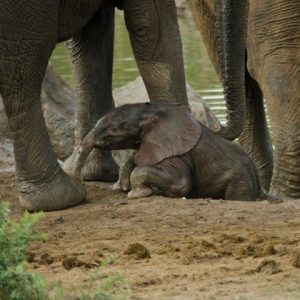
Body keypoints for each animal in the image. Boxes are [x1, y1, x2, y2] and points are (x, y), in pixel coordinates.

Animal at [0, 0, 247, 211]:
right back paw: (60, 199)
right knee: (24, 66)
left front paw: (97, 174)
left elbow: (93, 44)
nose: (216, 127)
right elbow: (155, 30)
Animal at [74, 103, 270, 202]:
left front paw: (137, 194)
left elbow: (181, 183)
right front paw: (120, 188)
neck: (155, 112)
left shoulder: (179, 154)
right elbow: (135, 160)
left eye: (114, 130)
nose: (80, 182)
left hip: (240, 180)